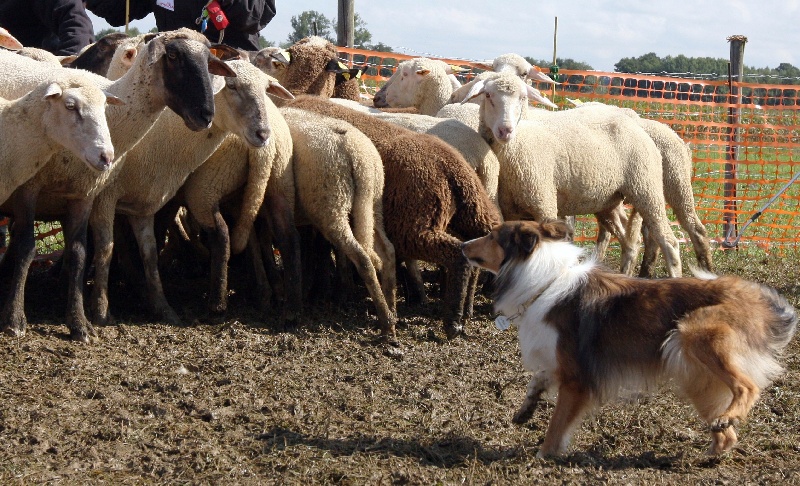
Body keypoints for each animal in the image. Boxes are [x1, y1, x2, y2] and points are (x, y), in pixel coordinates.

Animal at [460, 222, 796, 458]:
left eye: (492, 235)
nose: (462, 244)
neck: (543, 281)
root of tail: (757, 299)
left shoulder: (576, 378)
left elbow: (557, 422)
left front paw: (545, 455)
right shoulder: (561, 363)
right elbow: (539, 378)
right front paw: (526, 409)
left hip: (694, 334)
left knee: (747, 387)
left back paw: (728, 418)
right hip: (693, 373)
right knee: (728, 431)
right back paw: (716, 446)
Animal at [462, 72, 680, 278]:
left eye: (523, 98)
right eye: (488, 95)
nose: (505, 130)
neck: (513, 149)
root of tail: (638, 126)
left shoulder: (544, 203)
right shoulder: (510, 210)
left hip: (646, 187)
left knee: (669, 241)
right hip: (608, 201)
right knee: (629, 243)